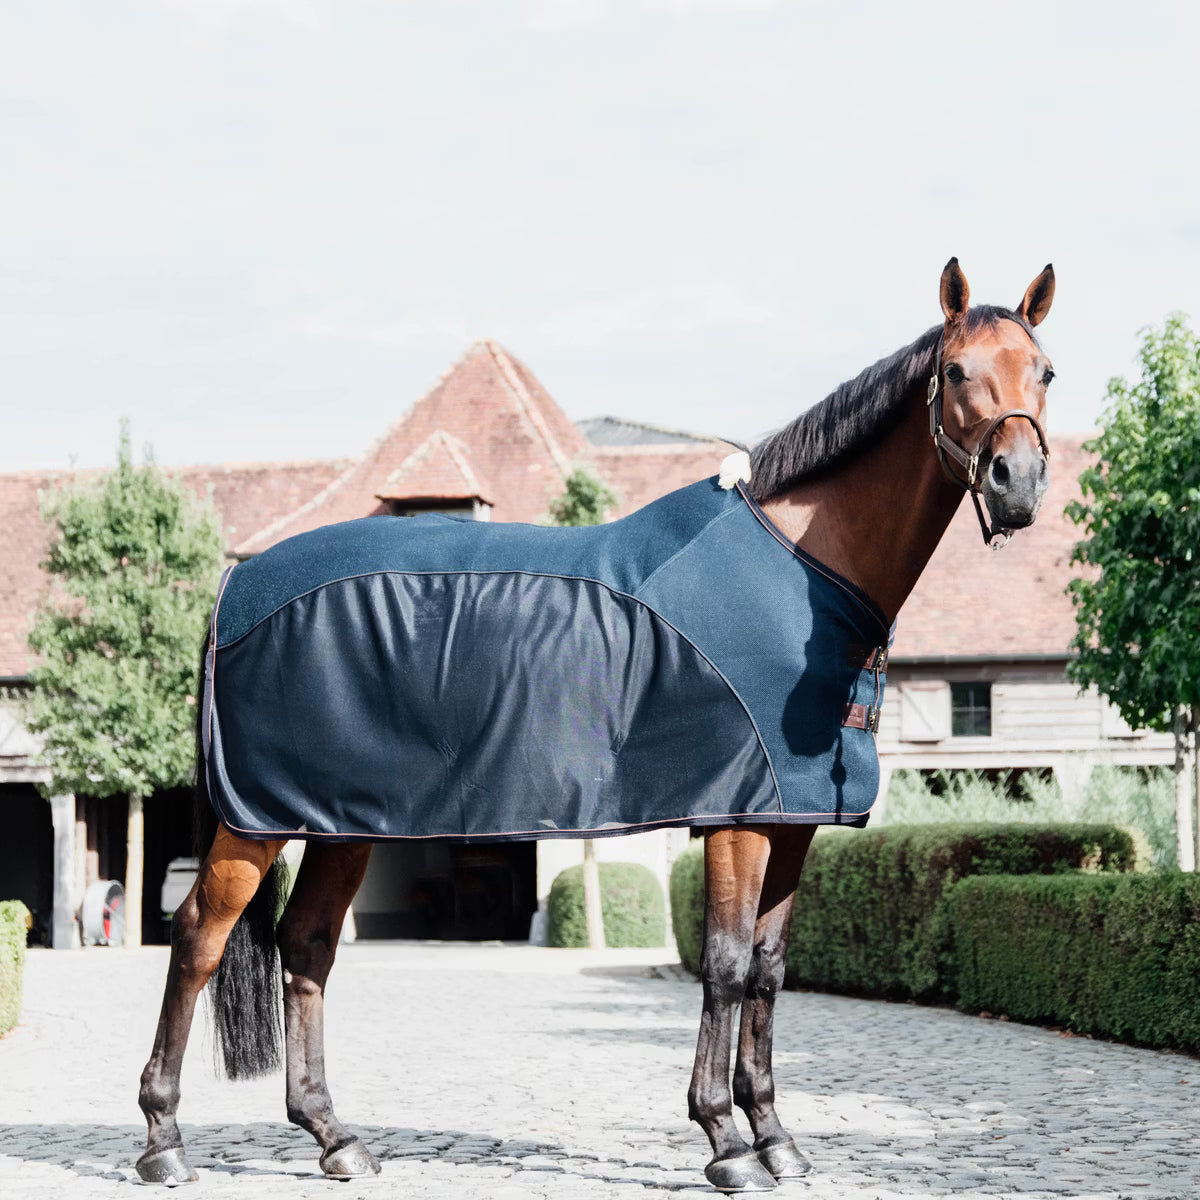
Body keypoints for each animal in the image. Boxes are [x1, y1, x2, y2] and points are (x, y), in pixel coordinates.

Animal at [135, 258, 1056, 1192]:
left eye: (1045, 372)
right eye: (955, 372)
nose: (1016, 484)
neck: (798, 569)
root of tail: (234, 590)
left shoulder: (792, 821)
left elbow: (767, 972)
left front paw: (776, 1138)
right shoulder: (738, 820)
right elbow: (725, 966)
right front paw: (725, 1142)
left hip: (341, 821)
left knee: (308, 945)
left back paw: (335, 1138)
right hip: (258, 824)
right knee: (199, 937)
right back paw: (164, 1141)